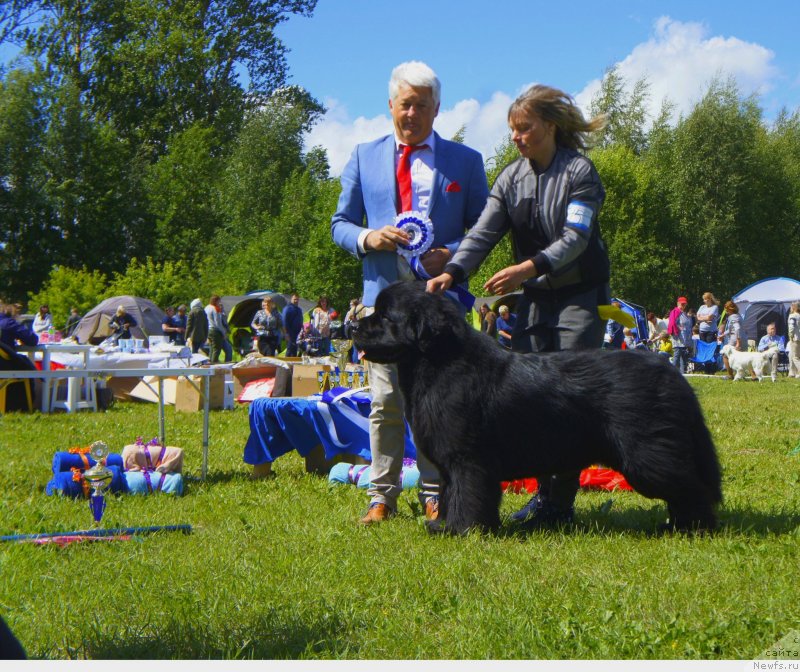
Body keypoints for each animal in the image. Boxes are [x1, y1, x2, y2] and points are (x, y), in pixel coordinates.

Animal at [354, 280, 720, 532]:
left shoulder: (466, 459)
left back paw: (693, 527)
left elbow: (466, 494)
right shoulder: (451, 462)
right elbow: (448, 493)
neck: (440, 361)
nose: (353, 326)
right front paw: (442, 524)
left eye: (385, 316)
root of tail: (672, 373)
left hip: (647, 456)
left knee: (692, 487)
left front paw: (462, 530)